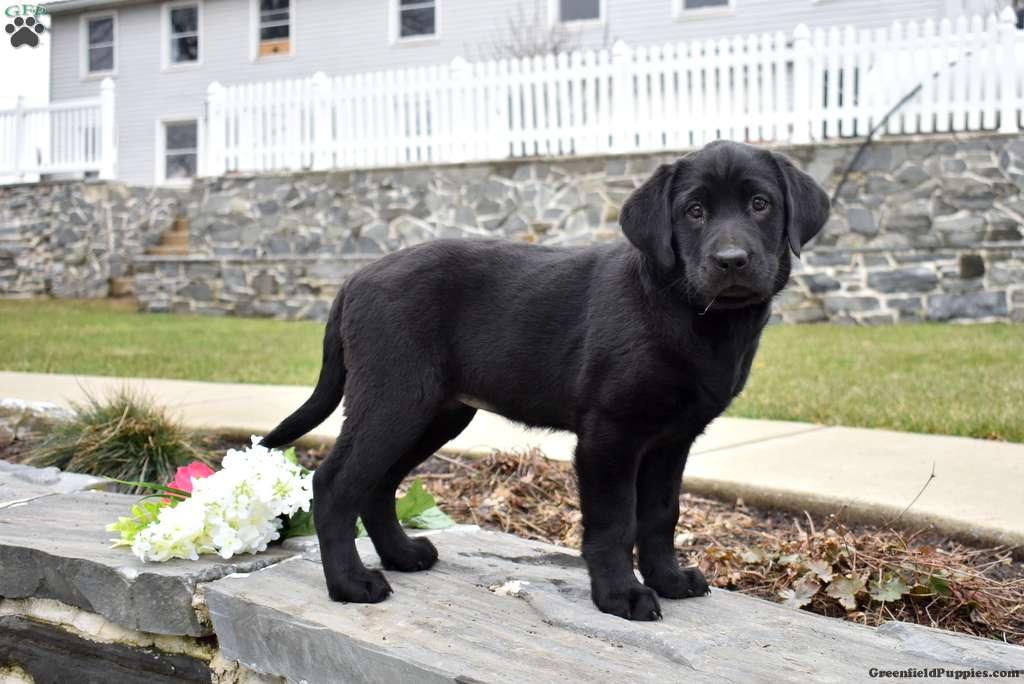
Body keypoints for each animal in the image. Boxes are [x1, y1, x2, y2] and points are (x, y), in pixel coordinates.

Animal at [262, 140, 830, 621]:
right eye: (694, 211)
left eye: (760, 204)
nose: (731, 261)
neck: (691, 312)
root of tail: (354, 279)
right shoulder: (610, 434)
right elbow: (615, 522)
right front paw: (620, 596)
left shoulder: (673, 439)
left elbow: (660, 514)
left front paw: (668, 580)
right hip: (394, 398)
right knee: (334, 484)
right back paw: (351, 585)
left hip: (436, 413)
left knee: (378, 484)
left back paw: (402, 555)